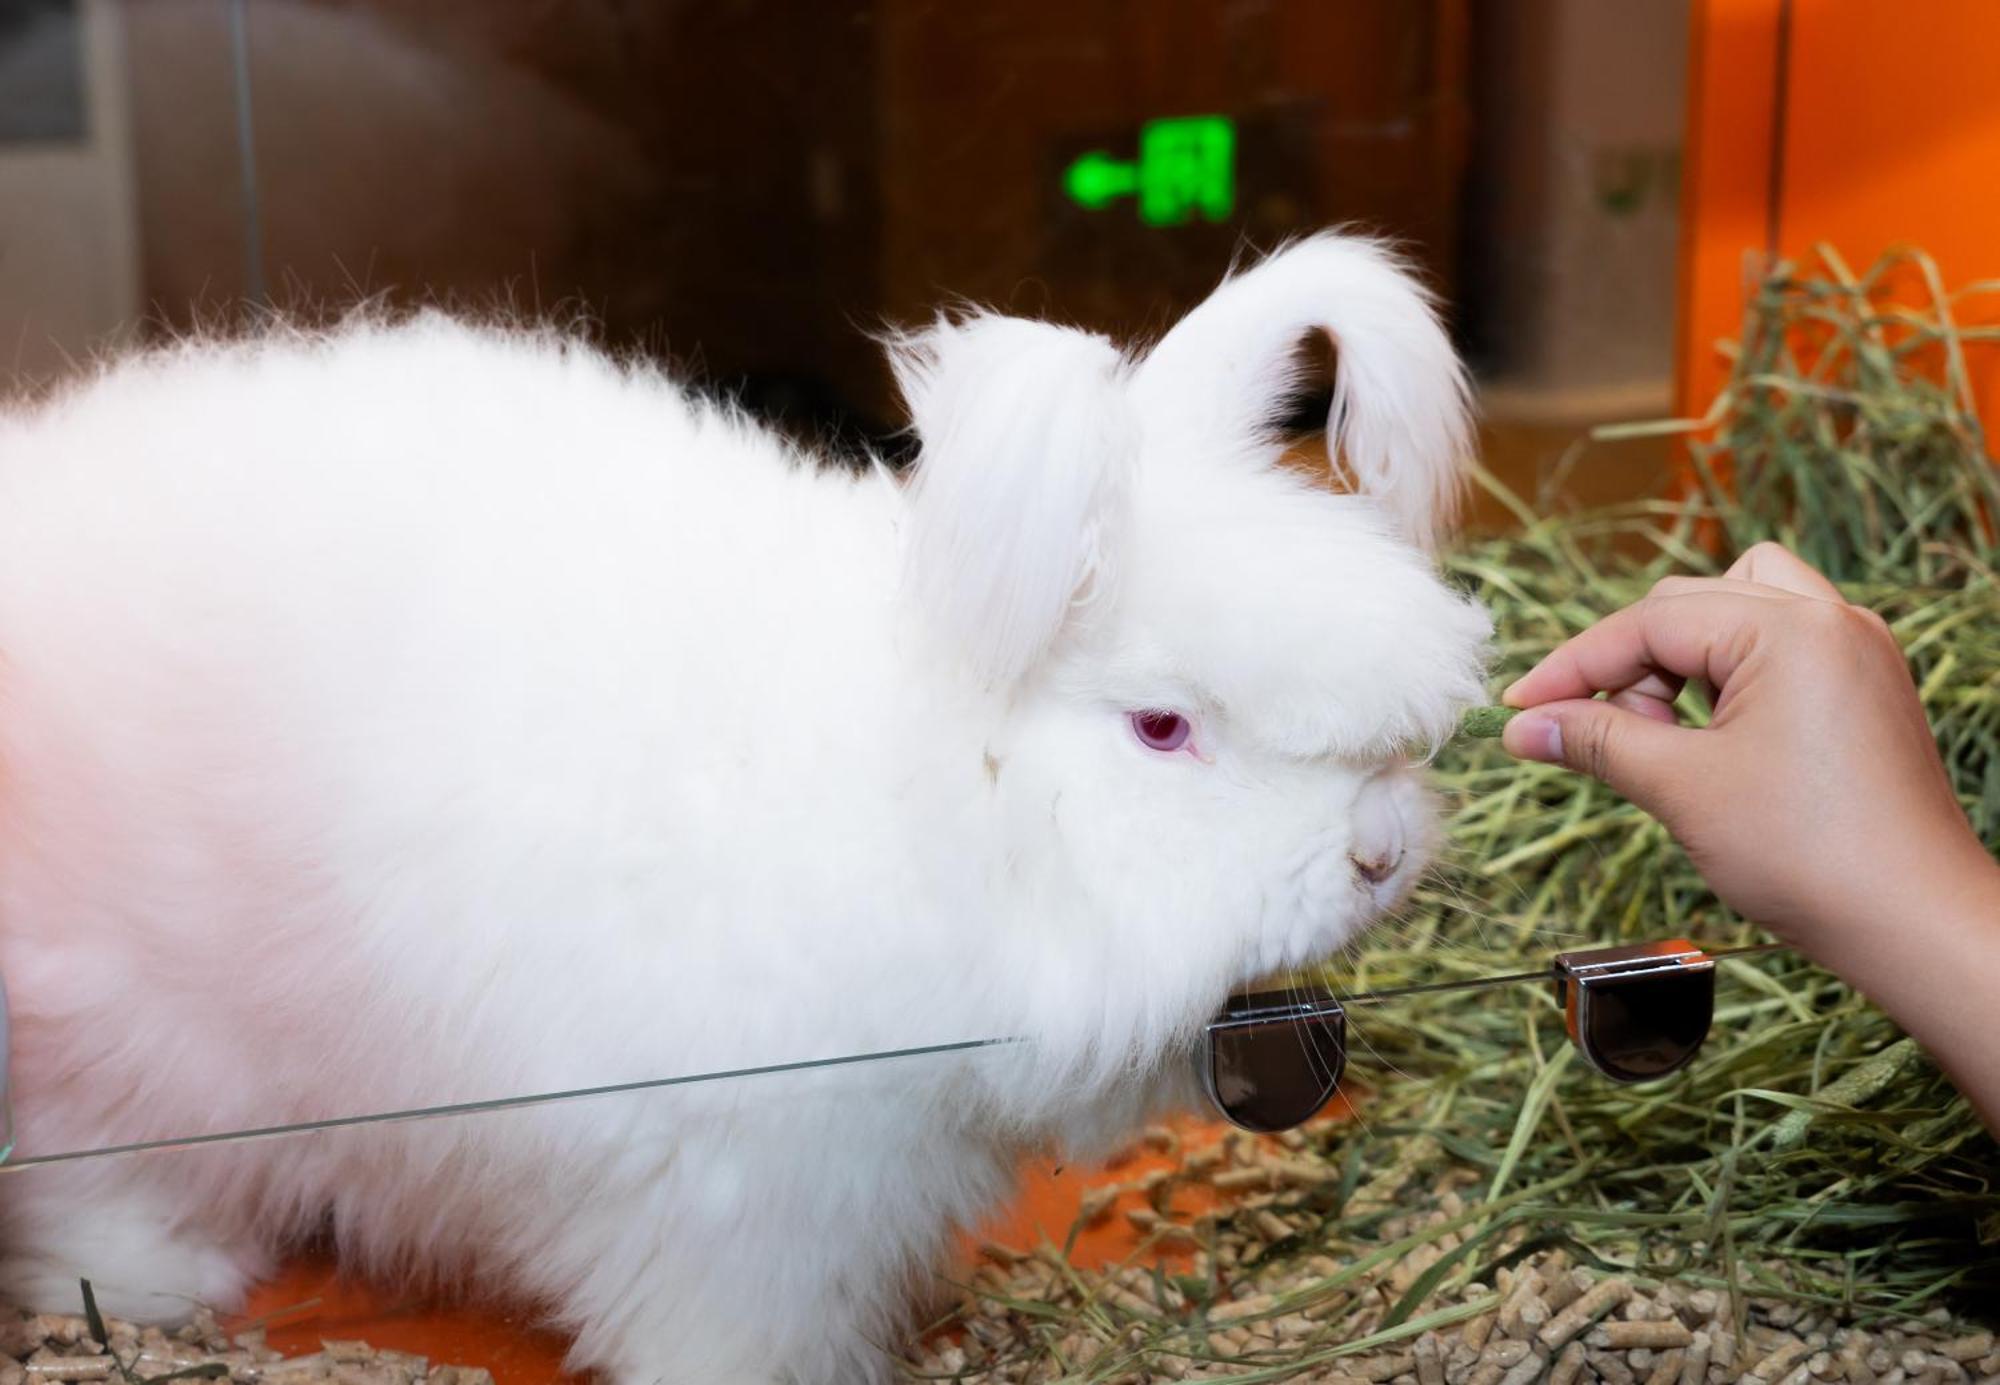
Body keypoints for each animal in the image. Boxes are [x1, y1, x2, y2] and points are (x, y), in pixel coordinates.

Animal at [0, 232, 1488, 1376]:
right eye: (1162, 727)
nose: (1377, 852)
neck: (926, 815)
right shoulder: (735, 1196)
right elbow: (733, 1337)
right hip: (128, 1035)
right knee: (91, 1177)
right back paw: (168, 1282)